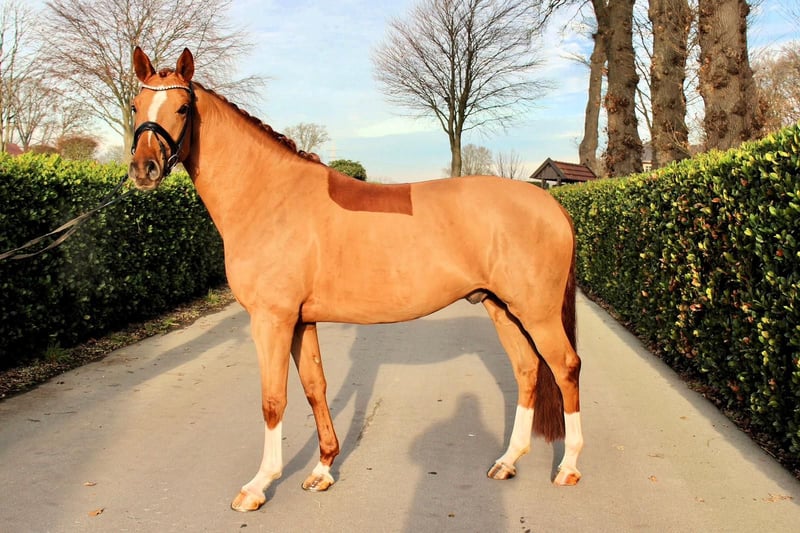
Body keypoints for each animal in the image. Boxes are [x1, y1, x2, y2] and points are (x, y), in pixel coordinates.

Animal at [128, 47, 583, 512]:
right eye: (135, 105)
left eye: (183, 108)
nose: (143, 169)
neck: (271, 197)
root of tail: (550, 203)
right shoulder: (301, 321)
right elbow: (315, 387)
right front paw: (323, 469)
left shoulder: (271, 320)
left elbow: (273, 400)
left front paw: (258, 486)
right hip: (500, 306)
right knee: (528, 369)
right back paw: (508, 460)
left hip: (537, 313)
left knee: (565, 367)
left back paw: (567, 467)